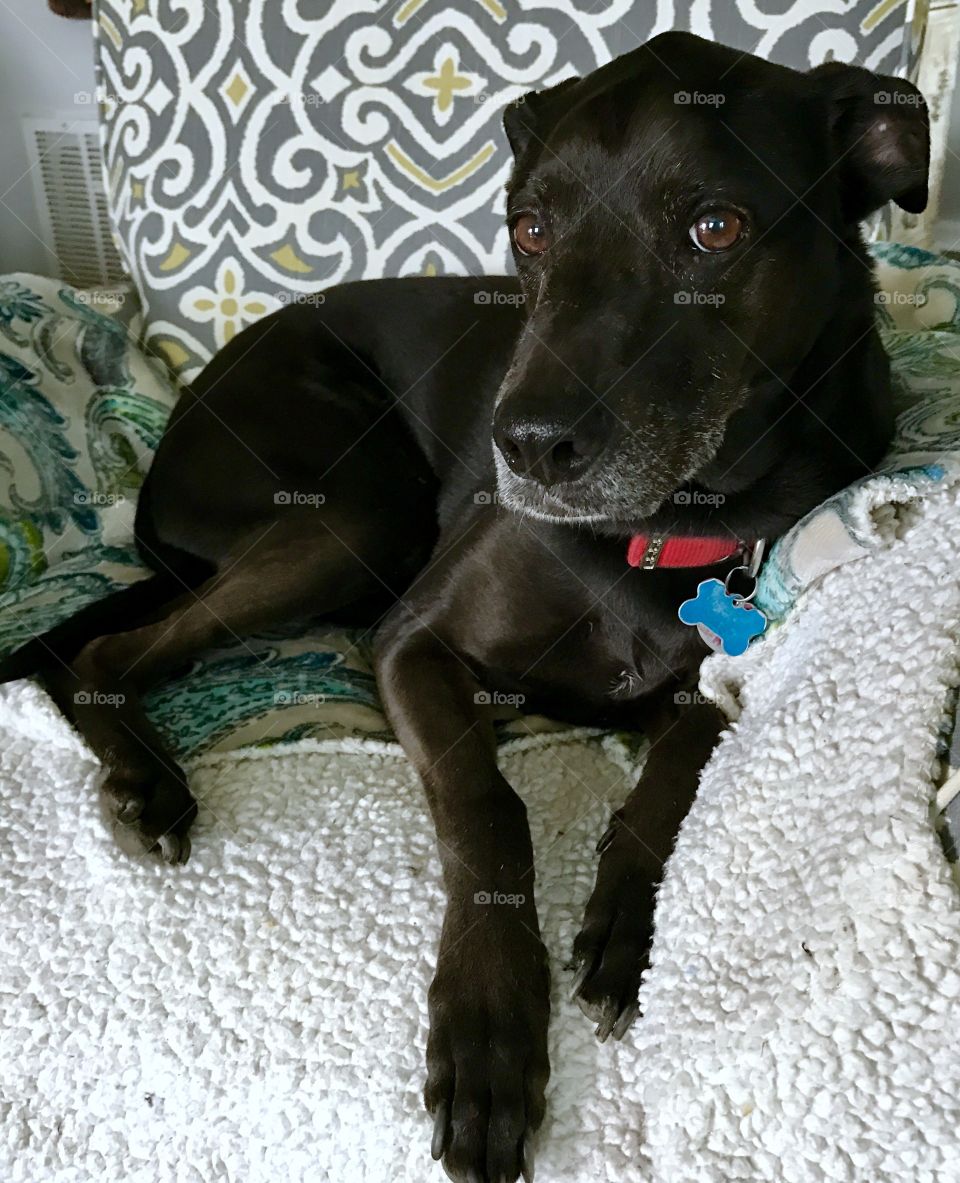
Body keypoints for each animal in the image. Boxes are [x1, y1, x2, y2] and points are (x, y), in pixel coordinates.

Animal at [1, 34, 932, 1183]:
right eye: (529, 228)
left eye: (715, 226)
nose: (521, 445)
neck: (669, 525)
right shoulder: (412, 640)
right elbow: (489, 807)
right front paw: (489, 1023)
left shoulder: (710, 666)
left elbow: (686, 748)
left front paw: (630, 908)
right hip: (356, 514)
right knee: (105, 653)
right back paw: (149, 782)